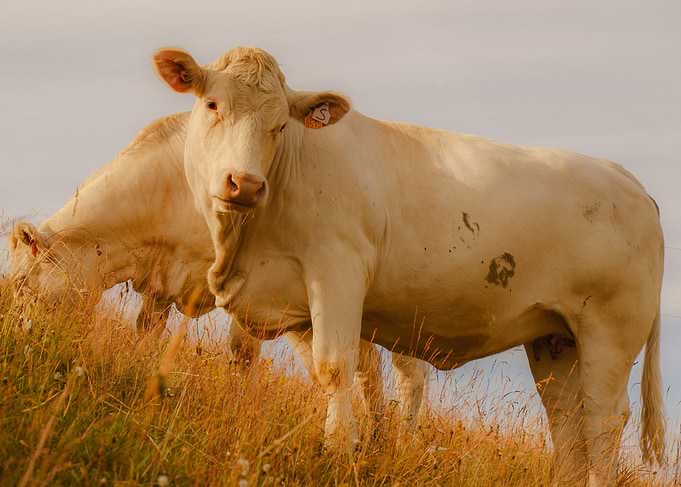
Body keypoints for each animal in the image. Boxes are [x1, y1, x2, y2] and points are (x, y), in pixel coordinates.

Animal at [7, 112, 429, 430]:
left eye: (23, 284)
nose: (25, 342)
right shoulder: (161, 282)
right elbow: (146, 333)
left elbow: (243, 353)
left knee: (408, 373)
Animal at [152, 46, 665, 485]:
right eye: (213, 104)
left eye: (280, 126)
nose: (244, 183)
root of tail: (625, 177)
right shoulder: (284, 298)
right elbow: (311, 369)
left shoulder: (337, 273)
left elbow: (335, 368)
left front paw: (339, 449)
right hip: (554, 338)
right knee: (566, 422)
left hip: (609, 331)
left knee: (602, 419)